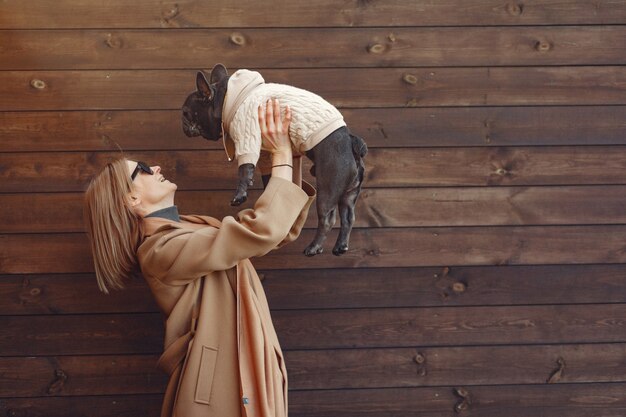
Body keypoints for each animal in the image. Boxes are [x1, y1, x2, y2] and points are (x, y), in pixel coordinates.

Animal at [180, 63, 366, 255]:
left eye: (185, 113)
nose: (183, 124)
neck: (223, 99)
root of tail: (350, 141)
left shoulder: (246, 130)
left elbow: (244, 168)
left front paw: (239, 195)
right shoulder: (263, 151)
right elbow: (265, 172)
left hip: (329, 185)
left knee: (327, 218)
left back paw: (314, 247)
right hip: (350, 193)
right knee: (348, 217)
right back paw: (340, 246)